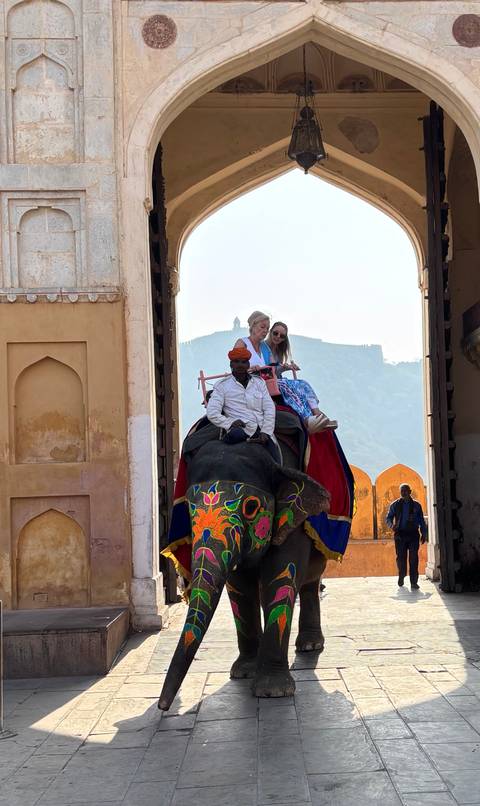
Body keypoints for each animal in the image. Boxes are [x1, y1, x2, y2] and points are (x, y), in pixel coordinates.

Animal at [158, 432, 330, 711]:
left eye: (251, 507)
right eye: (189, 509)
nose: (163, 706)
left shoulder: (291, 519)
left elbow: (282, 573)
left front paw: (273, 692)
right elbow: (240, 586)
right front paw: (244, 672)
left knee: (310, 580)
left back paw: (310, 645)